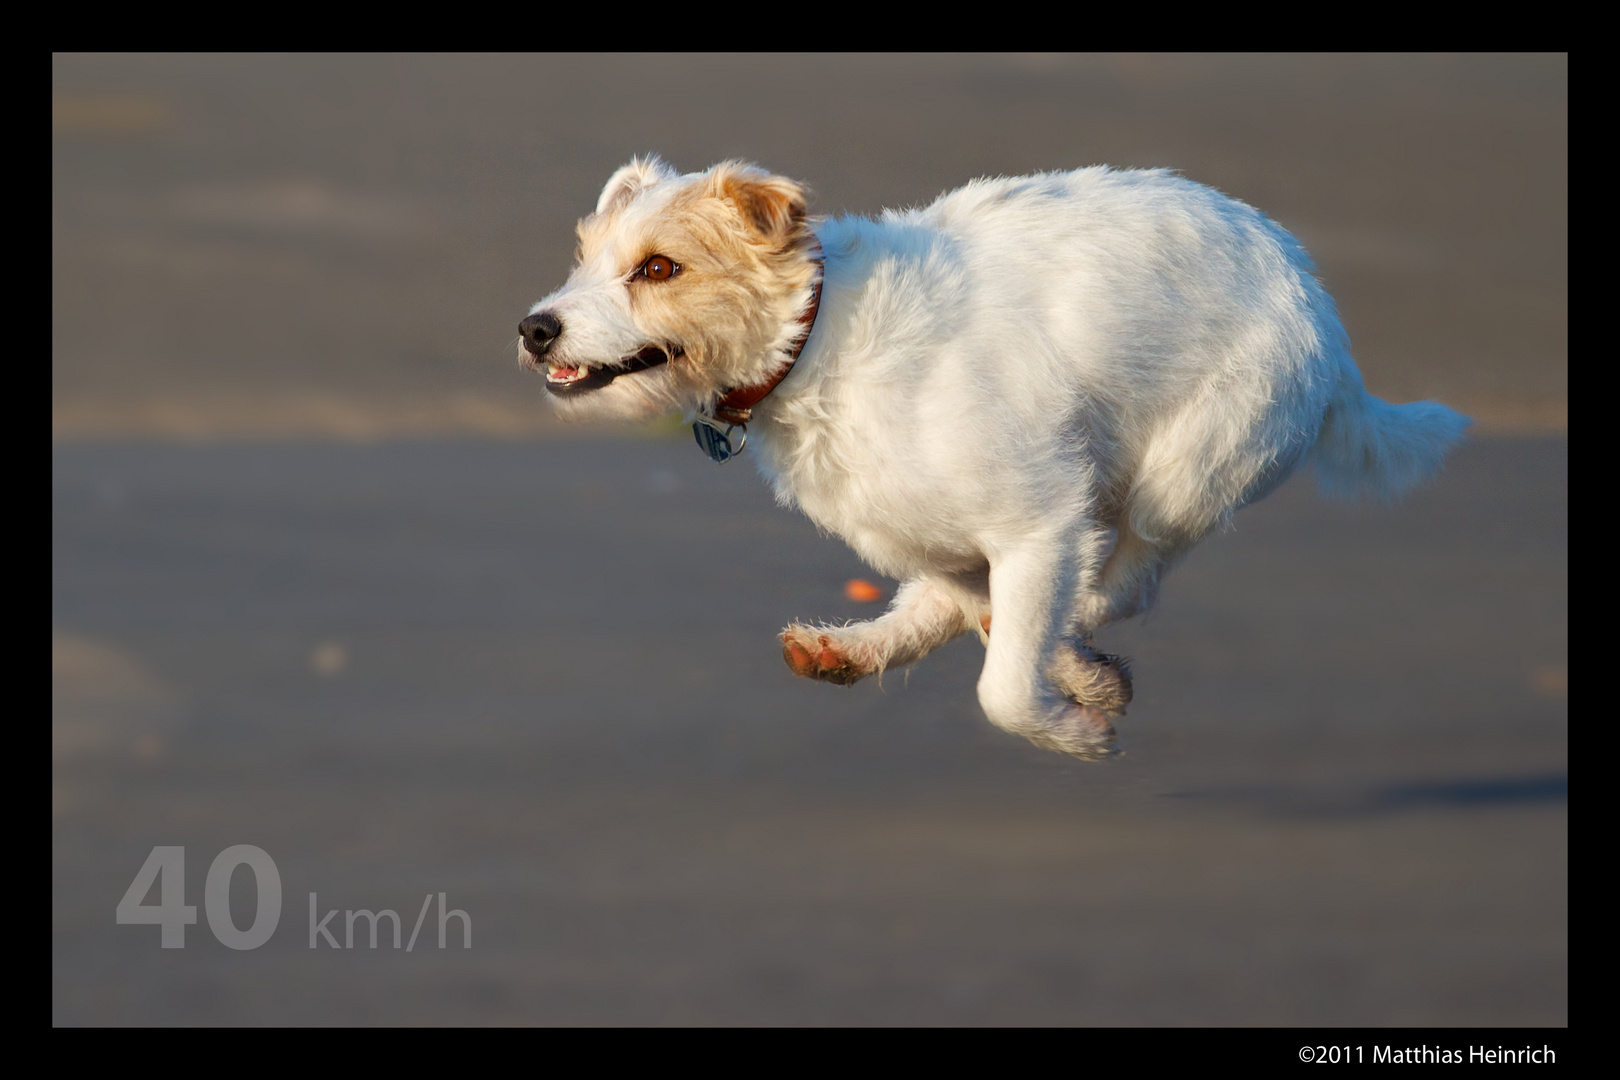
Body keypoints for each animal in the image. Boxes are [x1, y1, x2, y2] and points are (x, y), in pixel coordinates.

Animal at [515, 158, 1470, 761]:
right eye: (585, 258)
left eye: (659, 268)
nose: (535, 327)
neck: (817, 341)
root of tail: (1322, 310)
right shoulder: (934, 529)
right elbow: (982, 610)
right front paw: (1078, 682)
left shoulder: (1040, 523)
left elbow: (1005, 681)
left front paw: (1076, 723)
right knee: (977, 598)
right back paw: (854, 647)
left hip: (1186, 472)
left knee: (1126, 581)